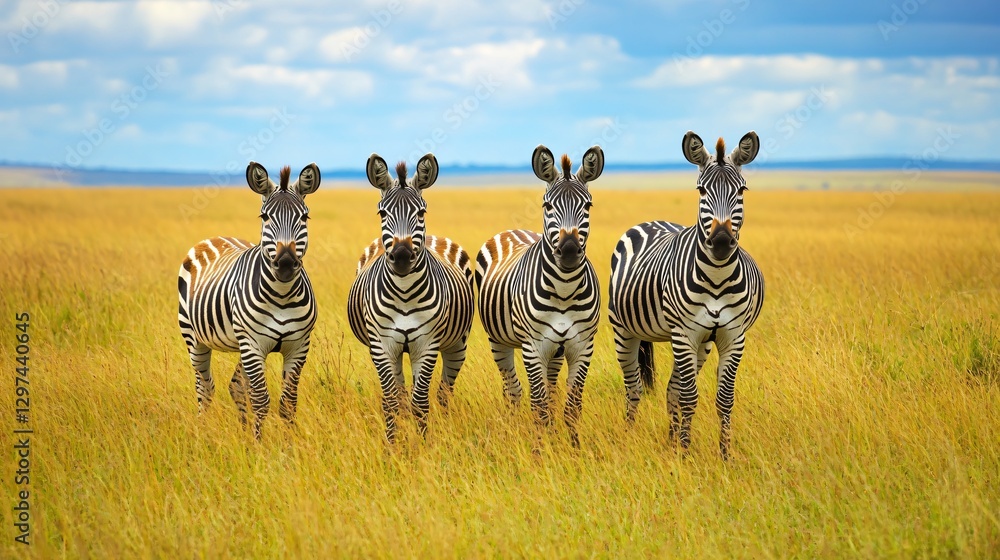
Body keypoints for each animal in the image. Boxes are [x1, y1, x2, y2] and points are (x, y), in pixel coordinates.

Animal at [177, 162, 320, 439]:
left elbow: (287, 403)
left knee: (235, 386)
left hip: (242, 345)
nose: (285, 264)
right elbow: (261, 400)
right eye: (265, 217)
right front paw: (258, 444)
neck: (282, 295)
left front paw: (288, 445)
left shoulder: (299, 346)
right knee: (204, 388)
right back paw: (202, 430)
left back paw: (241, 431)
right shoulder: (254, 344)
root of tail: (213, 237)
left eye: (304, 217)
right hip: (195, 338)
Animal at [347, 153, 475, 443]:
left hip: (457, 344)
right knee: (401, 393)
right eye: (382, 213)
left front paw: (424, 443)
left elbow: (420, 402)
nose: (403, 256)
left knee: (444, 392)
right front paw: (393, 445)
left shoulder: (426, 344)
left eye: (421, 212)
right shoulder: (382, 345)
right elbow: (392, 401)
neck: (405, 293)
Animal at [475, 145, 604, 447]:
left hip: (556, 350)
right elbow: (539, 406)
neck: (565, 291)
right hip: (498, 340)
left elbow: (572, 406)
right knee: (513, 390)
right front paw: (539, 450)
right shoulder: (533, 347)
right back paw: (511, 429)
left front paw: (574, 448)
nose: (568, 251)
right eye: (547, 206)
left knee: (551, 388)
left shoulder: (583, 345)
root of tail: (512, 231)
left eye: (588, 206)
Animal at [608, 131, 764, 459]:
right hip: (624, 331)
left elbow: (724, 398)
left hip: (701, 343)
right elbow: (690, 396)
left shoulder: (733, 336)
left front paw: (724, 454)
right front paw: (686, 451)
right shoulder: (684, 333)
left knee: (671, 388)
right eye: (701, 190)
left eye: (741, 190)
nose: (721, 242)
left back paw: (671, 439)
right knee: (634, 387)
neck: (717, 278)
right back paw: (630, 435)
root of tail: (652, 221)